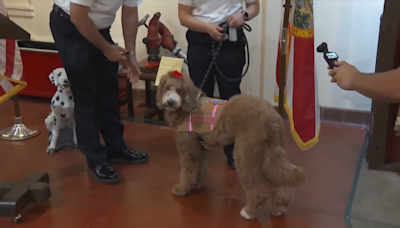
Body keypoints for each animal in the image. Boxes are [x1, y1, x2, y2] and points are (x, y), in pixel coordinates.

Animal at [156, 72, 306, 220]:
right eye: (167, 88)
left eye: (179, 90)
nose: (170, 101)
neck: (187, 108)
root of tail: (272, 117)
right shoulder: (202, 148)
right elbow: (201, 168)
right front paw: (197, 184)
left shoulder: (188, 148)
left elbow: (188, 170)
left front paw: (182, 189)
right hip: (269, 154)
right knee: (277, 181)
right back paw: (279, 208)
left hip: (245, 154)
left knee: (258, 192)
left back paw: (249, 213)